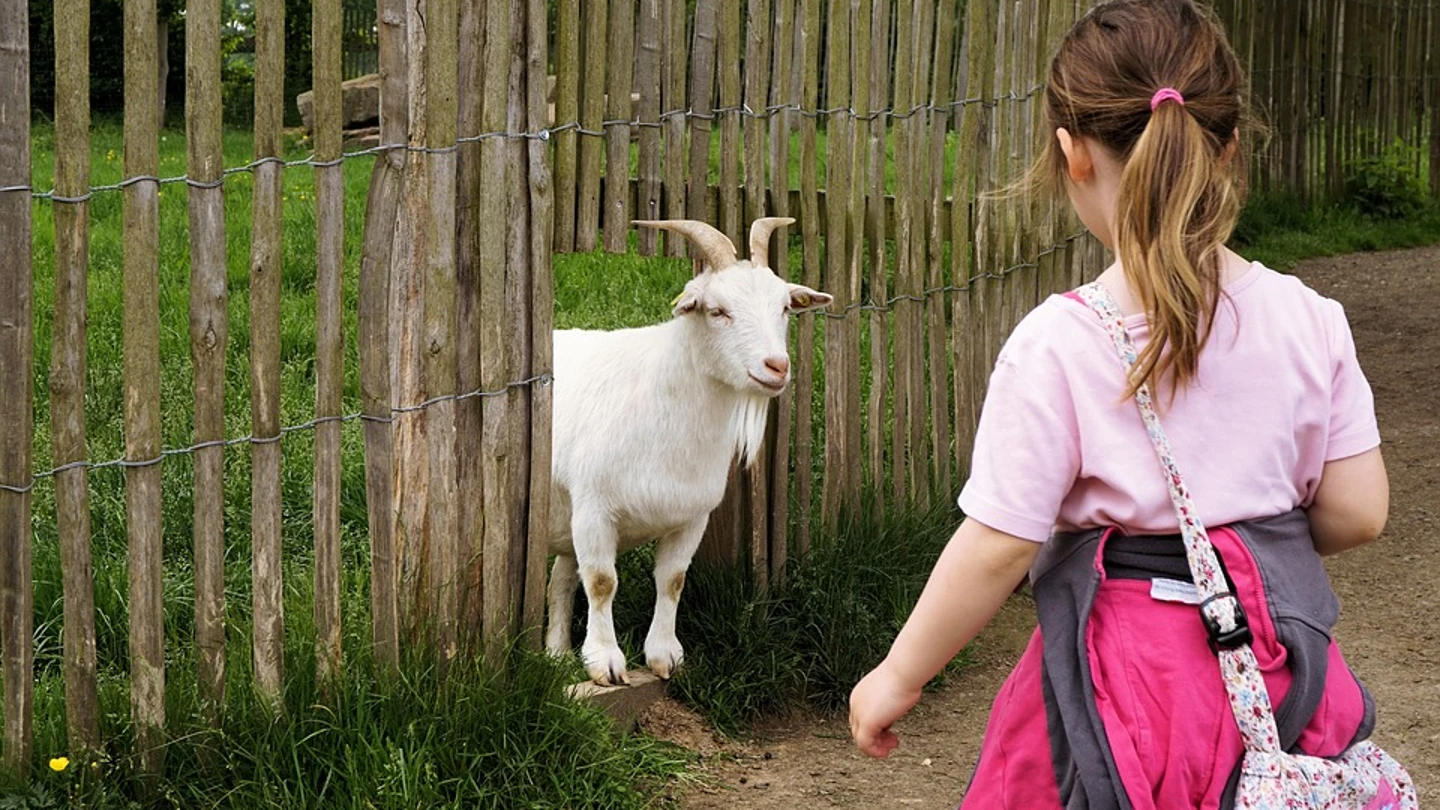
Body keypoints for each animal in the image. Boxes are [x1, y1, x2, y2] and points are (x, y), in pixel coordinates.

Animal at [546, 217, 833, 686]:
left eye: (785, 309)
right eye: (717, 310)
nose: (777, 366)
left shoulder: (691, 517)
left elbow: (673, 580)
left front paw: (665, 655)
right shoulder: (594, 510)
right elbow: (602, 582)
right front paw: (606, 661)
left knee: (560, 579)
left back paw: (554, 653)